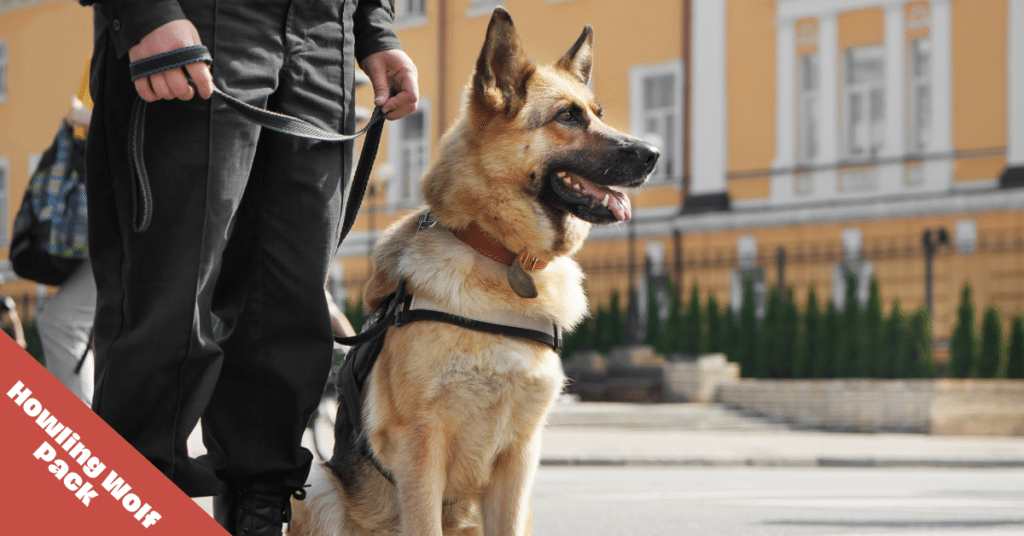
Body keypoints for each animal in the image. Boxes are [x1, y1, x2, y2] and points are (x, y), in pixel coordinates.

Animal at [290, 8, 655, 536]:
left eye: (598, 113)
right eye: (567, 117)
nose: (654, 155)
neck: (502, 257)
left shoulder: (519, 460)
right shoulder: (422, 450)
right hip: (318, 483)